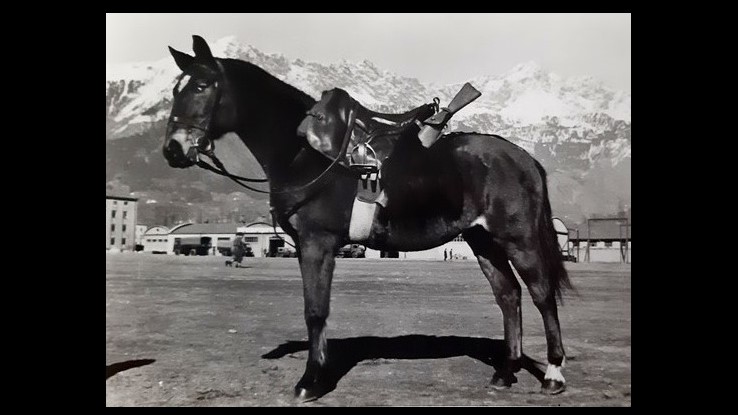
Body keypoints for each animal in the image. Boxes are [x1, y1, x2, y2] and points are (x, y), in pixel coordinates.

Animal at [163, 35, 573, 401]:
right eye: (175, 90)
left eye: (201, 85)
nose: (173, 149)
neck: (304, 153)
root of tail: (525, 158)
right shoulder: (308, 247)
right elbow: (316, 309)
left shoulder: (317, 243)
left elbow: (316, 311)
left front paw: (310, 381)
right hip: (483, 241)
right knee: (509, 295)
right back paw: (505, 372)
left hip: (518, 239)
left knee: (540, 294)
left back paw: (553, 374)